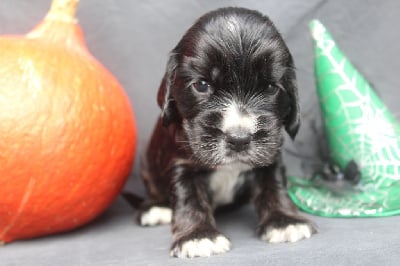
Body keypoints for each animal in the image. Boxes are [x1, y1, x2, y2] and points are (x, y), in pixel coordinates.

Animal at [139, 6, 318, 258]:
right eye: (202, 85)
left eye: (270, 87)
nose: (239, 139)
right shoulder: (181, 164)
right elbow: (190, 197)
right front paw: (198, 236)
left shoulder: (270, 156)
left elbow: (274, 185)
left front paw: (284, 221)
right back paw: (155, 209)